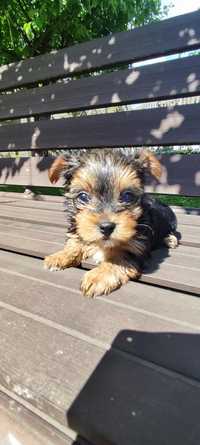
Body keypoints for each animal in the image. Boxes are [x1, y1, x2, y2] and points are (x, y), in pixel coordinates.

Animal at [44, 147, 178, 296]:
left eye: (127, 196)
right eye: (83, 196)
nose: (106, 227)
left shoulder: (136, 247)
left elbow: (118, 258)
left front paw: (98, 276)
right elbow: (75, 243)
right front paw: (59, 256)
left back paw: (170, 239)